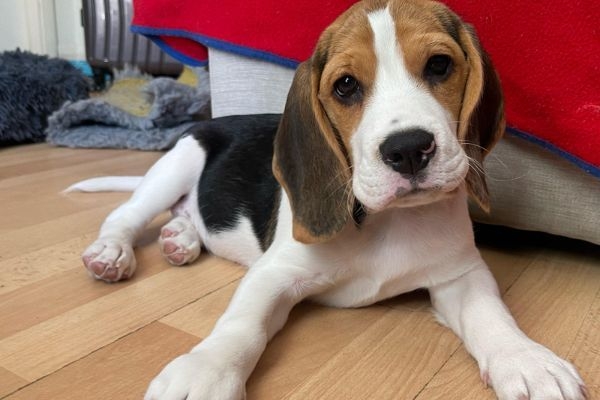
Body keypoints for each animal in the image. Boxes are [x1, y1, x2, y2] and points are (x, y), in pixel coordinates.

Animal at [75, 0, 584, 400]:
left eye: (439, 65)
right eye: (346, 86)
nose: (408, 149)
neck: (386, 221)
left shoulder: (460, 274)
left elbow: (492, 316)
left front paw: (526, 360)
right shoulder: (275, 273)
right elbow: (242, 326)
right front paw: (205, 372)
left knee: (186, 213)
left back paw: (179, 239)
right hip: (178, 162)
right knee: (126, 214)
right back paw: (113, 252)